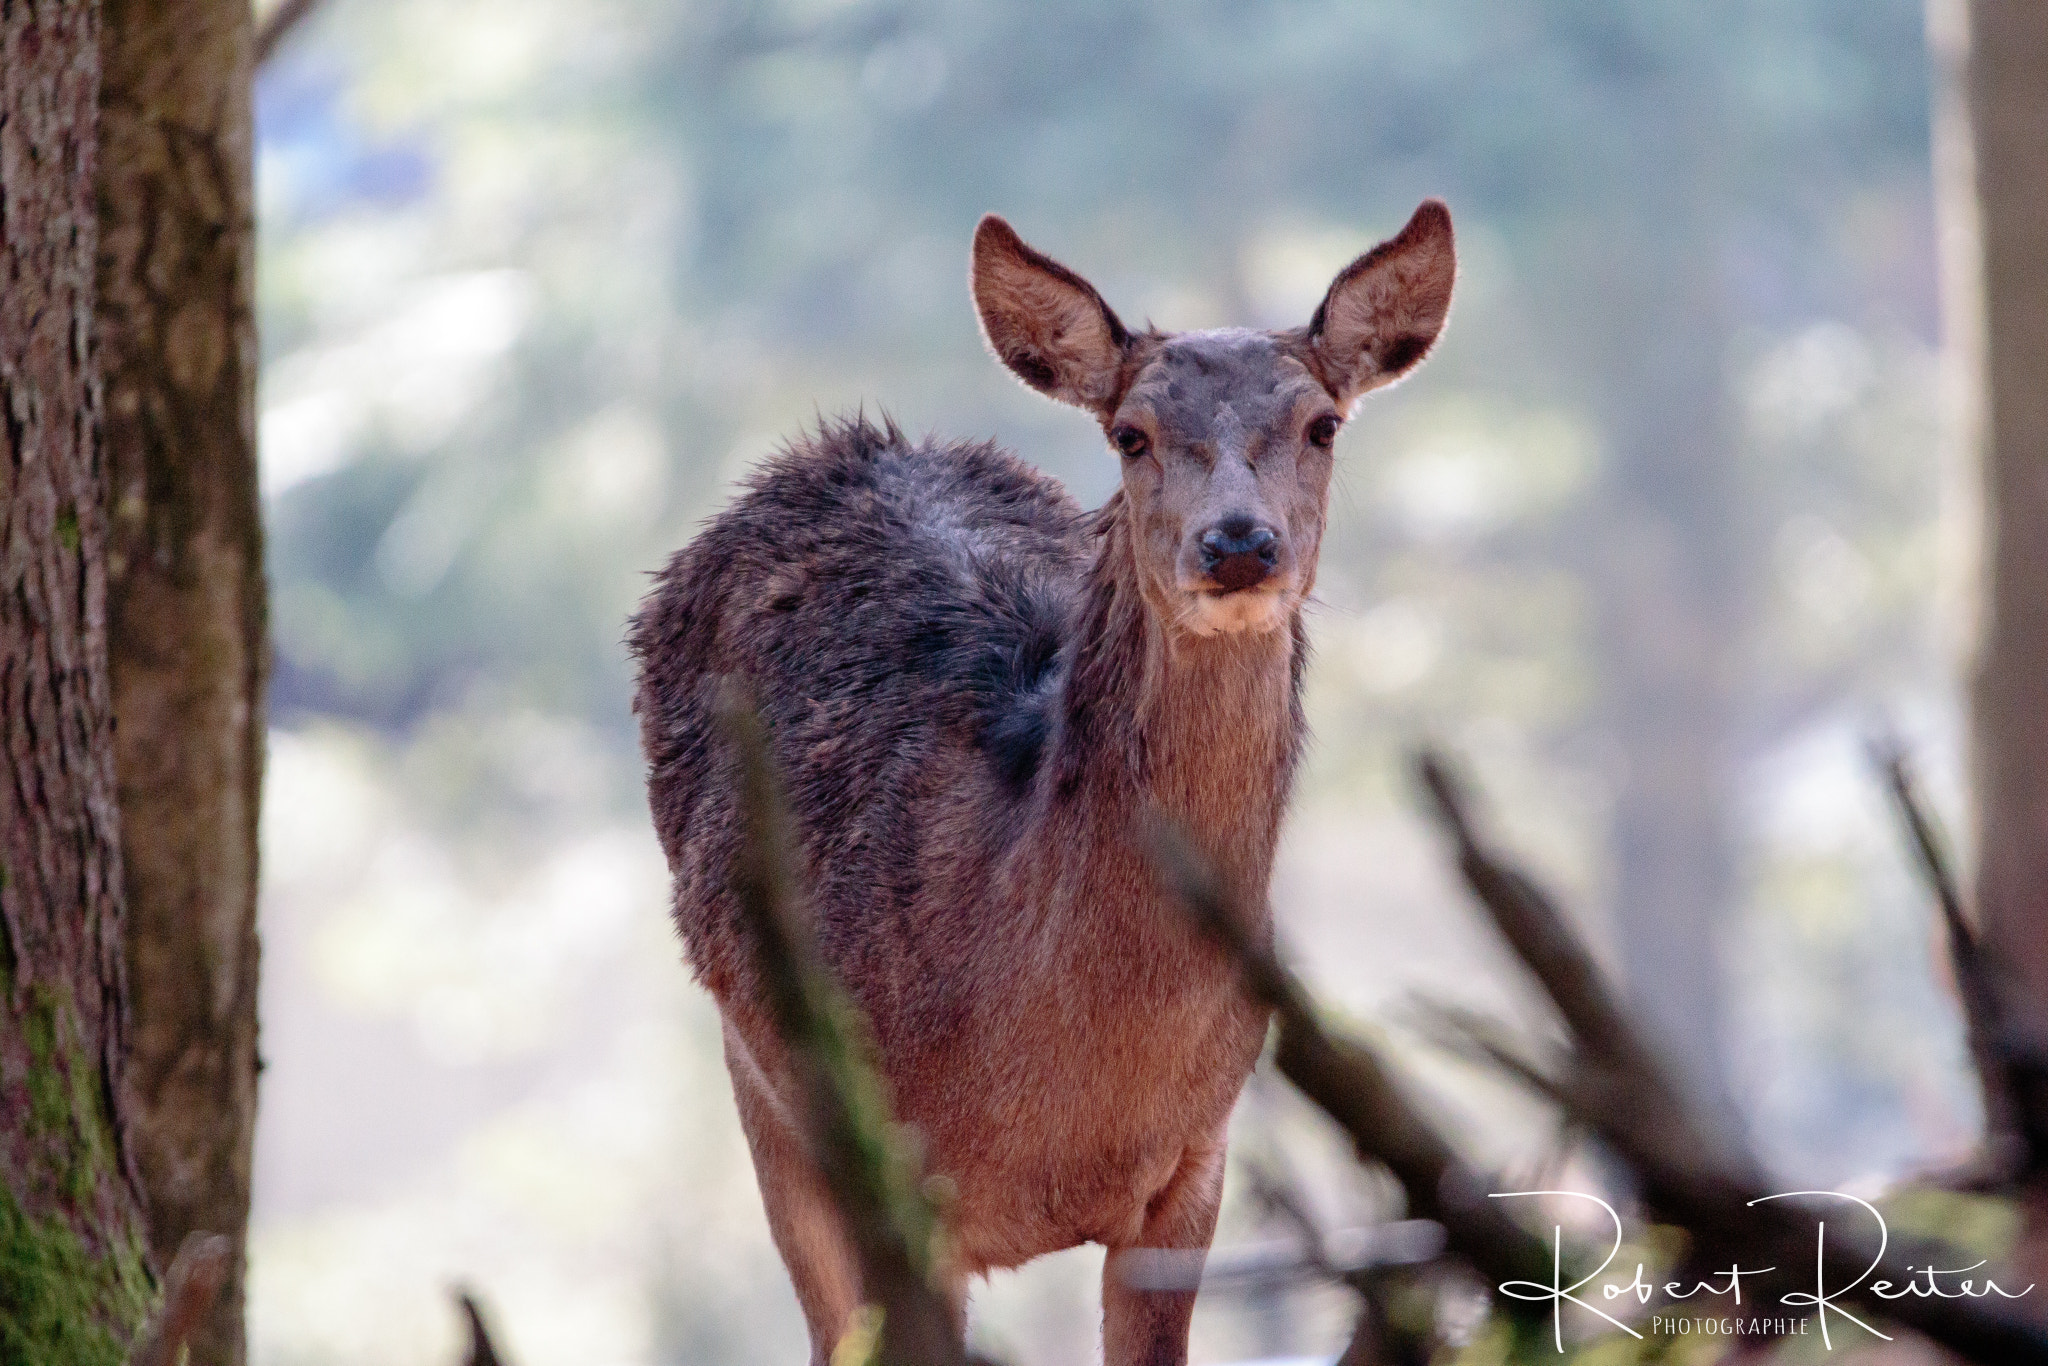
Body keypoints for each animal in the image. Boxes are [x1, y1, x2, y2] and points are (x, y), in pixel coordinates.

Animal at [630, 200, 1455, 1366]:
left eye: (1322, 424)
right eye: (1131, 433)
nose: (1238, 543)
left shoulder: (1194, 1165)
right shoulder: (894, 1180)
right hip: (765, 1097)